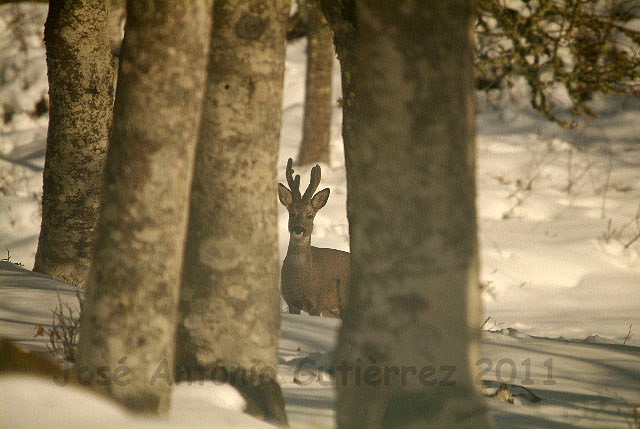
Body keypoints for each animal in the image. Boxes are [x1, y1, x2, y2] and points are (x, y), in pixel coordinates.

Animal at [278, 159, 350, 316]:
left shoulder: (317, 301)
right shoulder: (290, 300)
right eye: (291, 214)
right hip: (332, 311)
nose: (299, 229)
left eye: (310, 216)